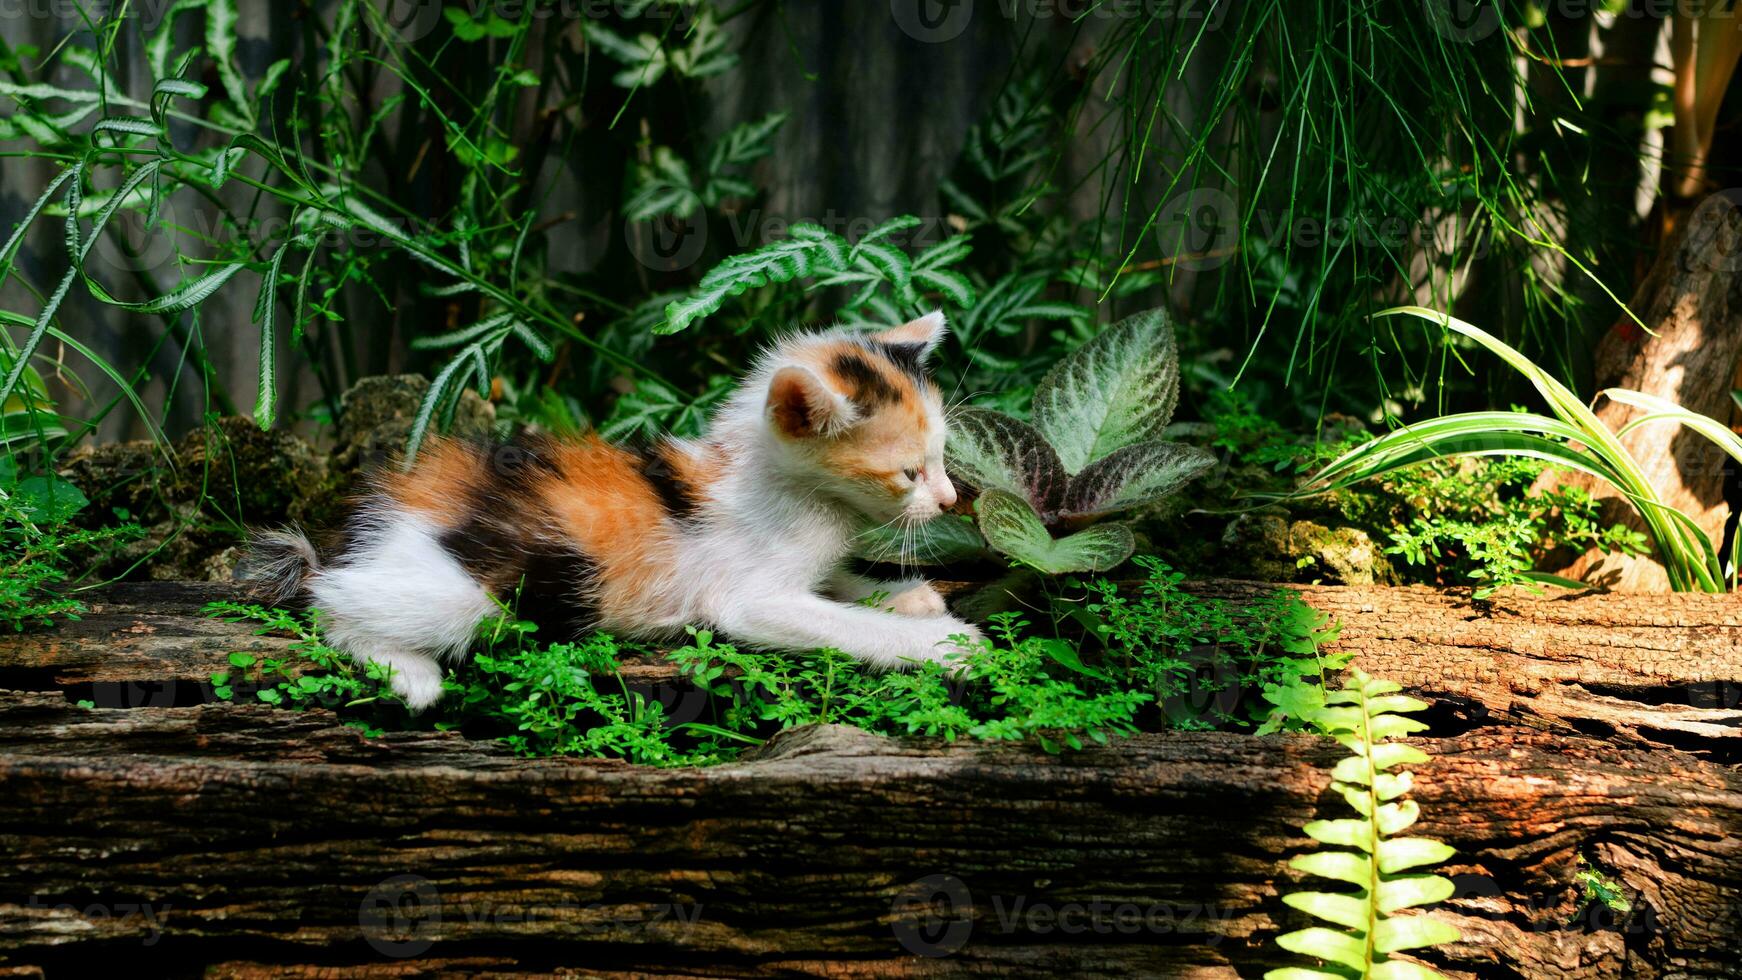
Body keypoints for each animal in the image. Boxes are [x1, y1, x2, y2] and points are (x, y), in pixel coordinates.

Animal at [245, 309, 982, 710]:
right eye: (909, 473)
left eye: (942, 459)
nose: (950, 499)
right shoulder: (746, 601)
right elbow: (838, 622)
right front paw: (943, 643)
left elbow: (836, 581)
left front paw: (906, 595)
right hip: (477, 591)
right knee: (332, 601)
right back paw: (409, 672)